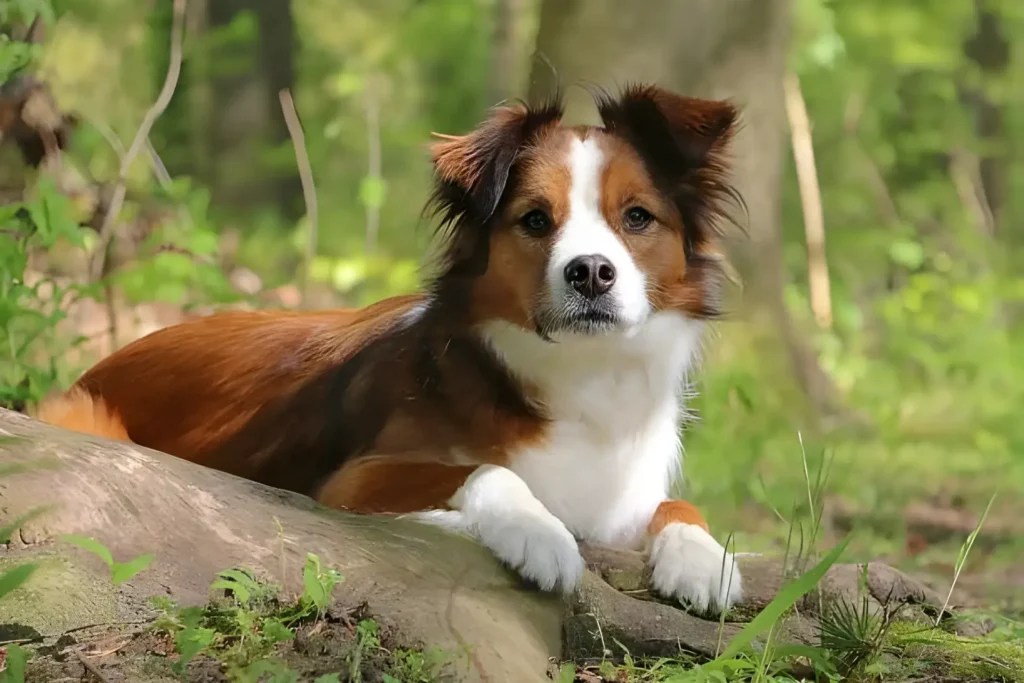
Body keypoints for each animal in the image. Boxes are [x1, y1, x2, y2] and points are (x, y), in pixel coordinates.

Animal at [37, 83, 745, 614]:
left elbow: (677, 505)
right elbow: (486, 470)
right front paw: (538, 531)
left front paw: (704, 558)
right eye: (536, 220)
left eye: (636, 218)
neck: (582, 374)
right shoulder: (353, 479)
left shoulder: (623, 496)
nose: (592, 273)